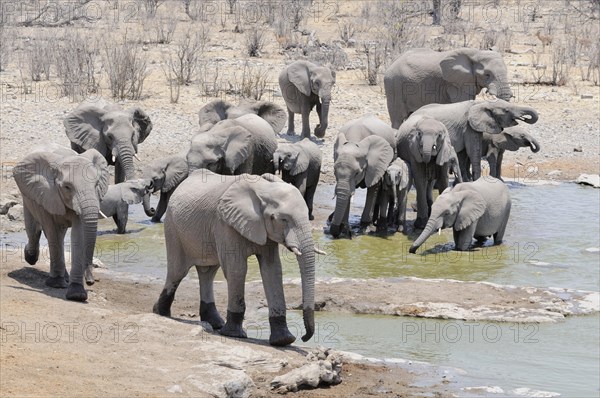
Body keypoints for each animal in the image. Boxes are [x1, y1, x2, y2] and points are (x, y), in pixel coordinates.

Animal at [12, 145, 109, 300]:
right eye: (67, 187)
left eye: (96, 185)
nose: (90, 281)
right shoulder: (45, 193)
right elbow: (51, 230)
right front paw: (56, 284)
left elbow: (79, 235)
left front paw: (77, 295)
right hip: (28, 196)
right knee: (34, 230)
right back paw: (30, 257)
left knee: (58, 234)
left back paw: (66, 278)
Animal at [152, 169, 316, 346]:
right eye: (282, 219)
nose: (304, 337)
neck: (263, 189)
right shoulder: (225, 224)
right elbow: (237, 269)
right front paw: (234, 334)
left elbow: (272, 271)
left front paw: (283, 340)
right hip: (173, 228)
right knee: (177, 272)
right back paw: (160, 313)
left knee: (208, 273)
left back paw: (216, 323)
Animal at [412, 98, 540, 181]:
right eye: (506, 110)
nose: (525, 118)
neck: (482, 103)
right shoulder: (468, 125)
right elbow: (473, 152)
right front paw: (476, 182)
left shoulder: (474, 127)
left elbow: (468, 153)